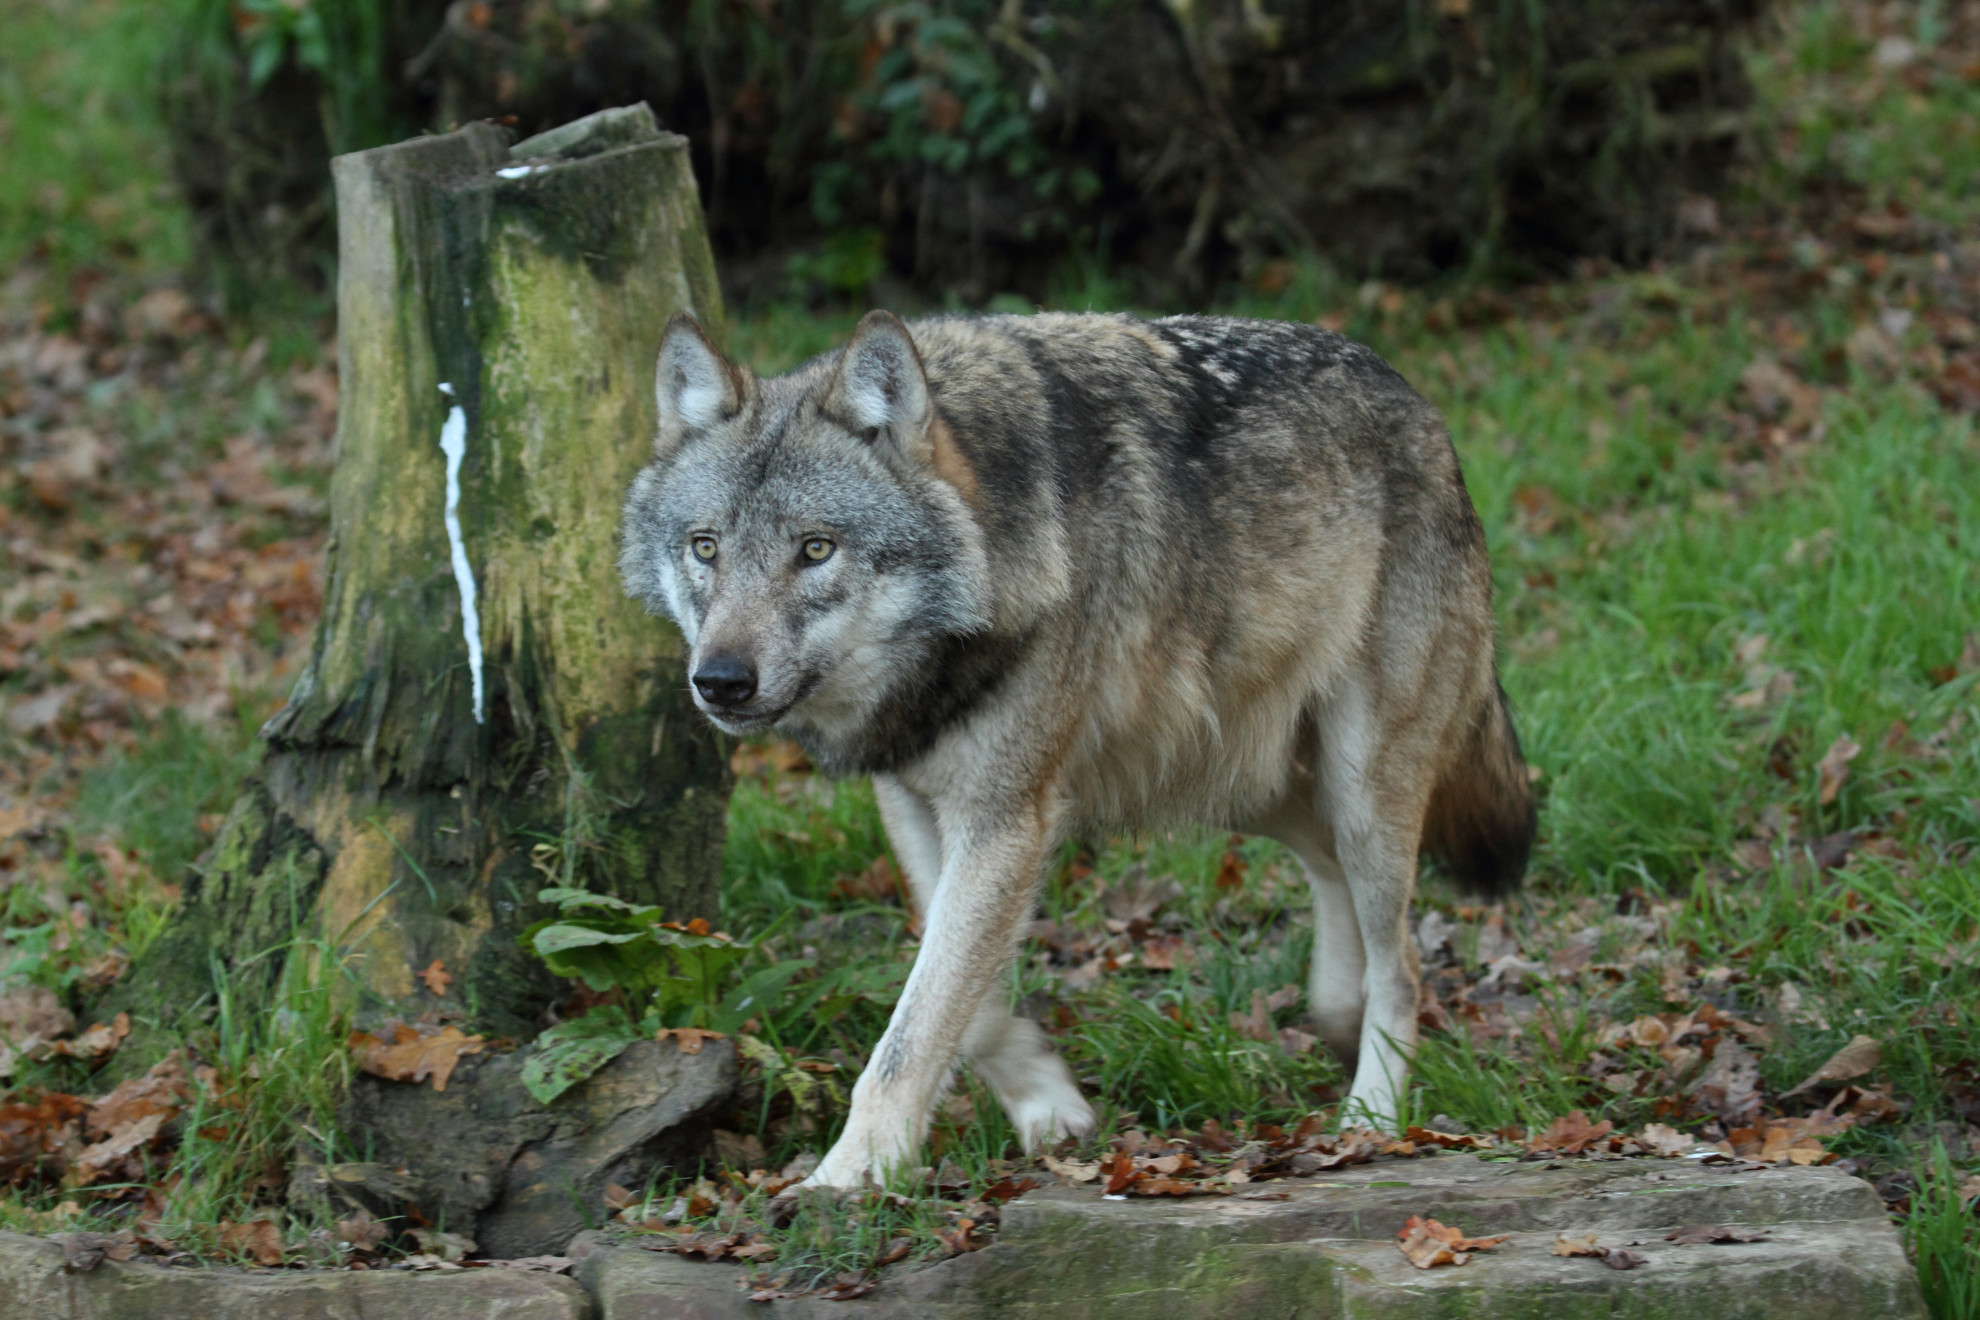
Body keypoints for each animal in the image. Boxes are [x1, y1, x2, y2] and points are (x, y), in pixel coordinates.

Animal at [617, 306, 1528, 1187]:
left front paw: (851, 1175)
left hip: (1357, 782)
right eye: (705, 547)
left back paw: (1370, 1116)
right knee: (1334, 879)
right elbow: (964, 1003)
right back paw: (1336, 1019)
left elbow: (918, 1023)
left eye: (816, 549)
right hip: (1240, 783)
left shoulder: (1006, 820)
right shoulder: (916, 804)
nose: (720, 681)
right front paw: (1048, 1104)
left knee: (1403, 965)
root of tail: (1418, 402)